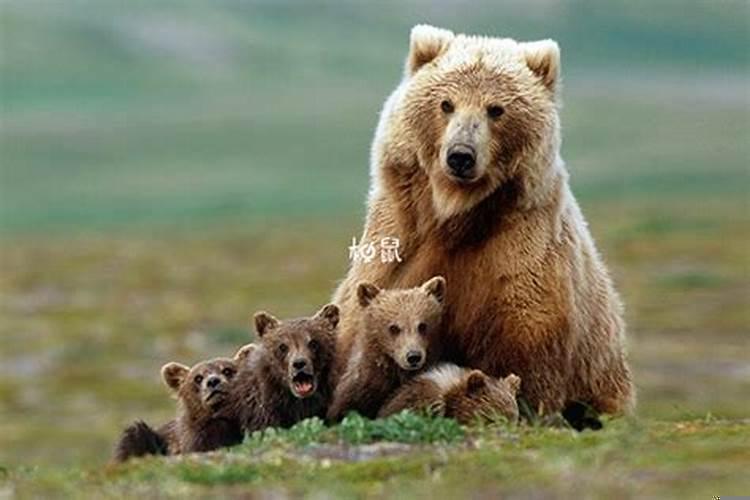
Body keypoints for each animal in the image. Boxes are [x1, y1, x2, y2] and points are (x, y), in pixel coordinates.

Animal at [334, 25, 636, 420]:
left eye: (496, 109)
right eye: (446, 104)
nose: (461, 155)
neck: (455, 214)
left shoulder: (519, 254)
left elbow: (524, 349)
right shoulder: (398, 241)